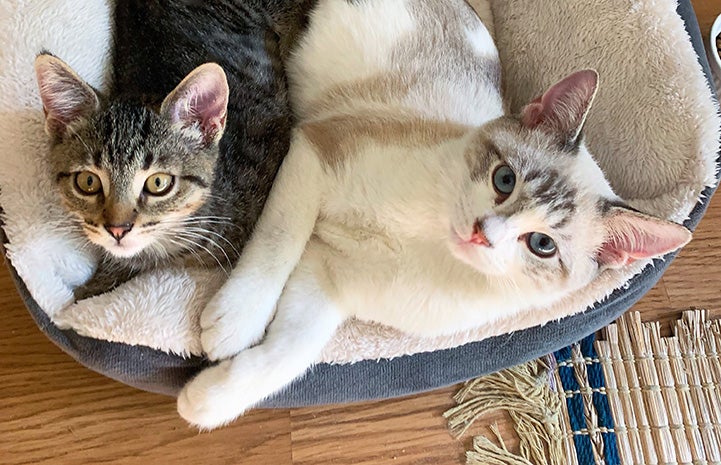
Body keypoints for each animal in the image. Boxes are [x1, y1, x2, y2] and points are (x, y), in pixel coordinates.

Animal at [176, 0, 692, 428]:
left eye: (543, 245)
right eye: (504, 180)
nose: (482, 233)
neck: (425, 243)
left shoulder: (328, 283)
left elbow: (292, 353)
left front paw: (208, 400)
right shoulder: (314, 151)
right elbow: (278, 241)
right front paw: (237, 320)